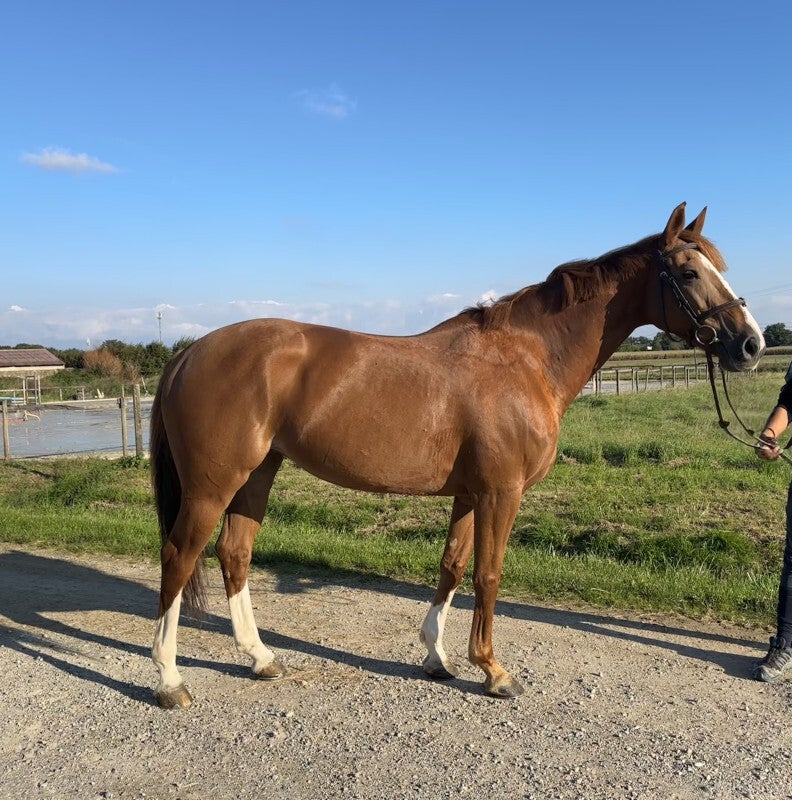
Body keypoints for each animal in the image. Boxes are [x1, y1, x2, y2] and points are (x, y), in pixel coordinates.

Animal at [149, 203, 764, 708]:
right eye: (688, 272)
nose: (751, 344)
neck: (525, 359)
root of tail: (189, 352)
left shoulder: (470, 494)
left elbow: (451, 566)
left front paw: (436, 658)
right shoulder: (501, 493)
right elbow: (488, 574)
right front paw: (493, 670)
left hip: (257, 475)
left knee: (234, 554)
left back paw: (261, 659)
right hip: (213, 485)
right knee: (179, 556)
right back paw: (169, 680)